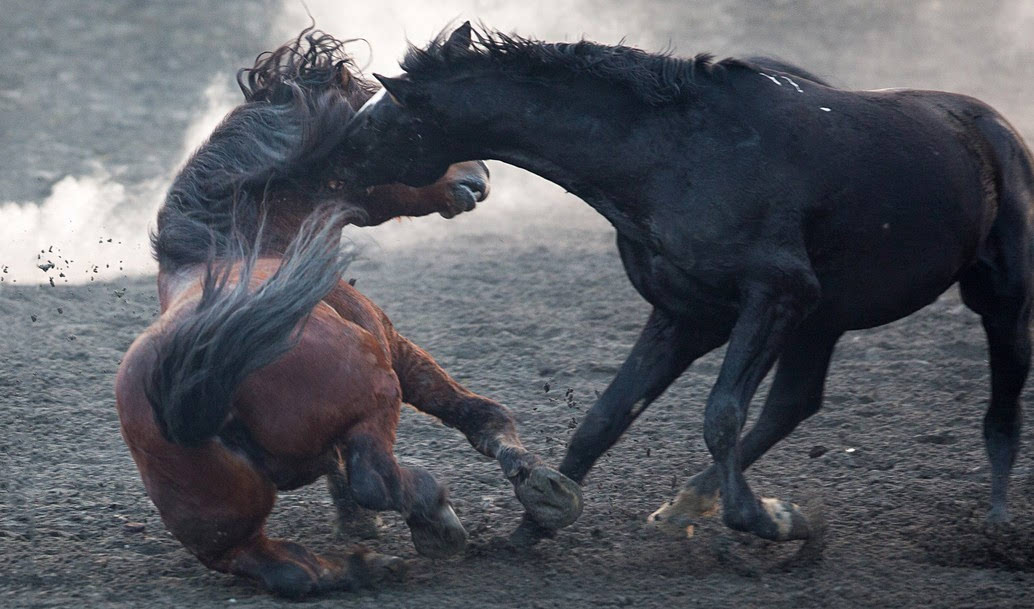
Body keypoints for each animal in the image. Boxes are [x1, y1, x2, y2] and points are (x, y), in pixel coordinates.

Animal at [116, 30, 583, 595]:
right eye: (386, 126)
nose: (479, 176)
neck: (231, 243)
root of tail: (192, 386)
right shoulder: (395, 347)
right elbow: (479, 413)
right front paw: (543, 485)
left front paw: (360, 528)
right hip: (378, 389)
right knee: (374, 478)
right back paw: (434, 522)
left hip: (224, 523)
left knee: (285, 569)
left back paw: (369, 564)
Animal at [335, 23, 1029, 541]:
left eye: (378, 122)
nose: (324, 162)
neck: (675, 154)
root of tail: (992, 126)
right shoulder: (689, 314)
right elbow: (606, 417)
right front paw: (536, 522)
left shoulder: (777, 296)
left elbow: (720, 414)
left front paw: (766, 518)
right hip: (823, 321)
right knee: (793, 403)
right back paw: (685, 503)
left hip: (998, 295)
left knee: (1003, 399)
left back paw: (996, 521)